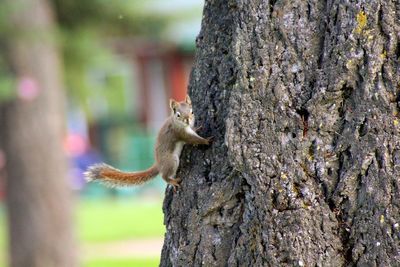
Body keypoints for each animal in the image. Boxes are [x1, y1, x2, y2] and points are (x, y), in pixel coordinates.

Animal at [83, 95, 211, 192]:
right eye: (178, 114)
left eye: (192, 111)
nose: (188, 120)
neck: (179, 124)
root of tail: (158, 164)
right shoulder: (180, 133)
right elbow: (192, 139)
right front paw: (206, 140)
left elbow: (193, 132)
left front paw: (197, 128)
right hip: (171, 160)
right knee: (164, 176)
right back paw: (173, 181)